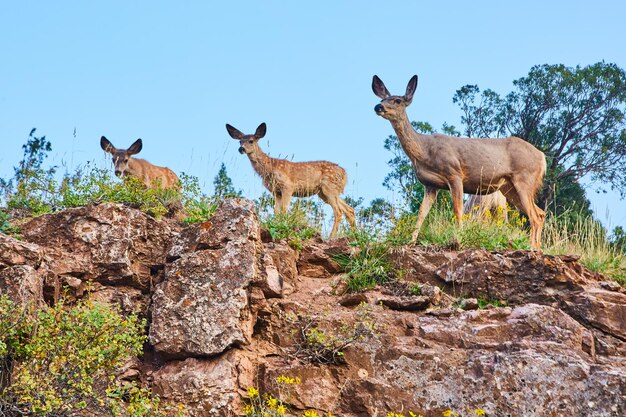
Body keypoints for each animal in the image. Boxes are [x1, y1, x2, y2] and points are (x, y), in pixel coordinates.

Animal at [224, 121, 354, 237]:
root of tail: (345, 173)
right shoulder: (276, 191)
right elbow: (276, 211)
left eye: (251, 141)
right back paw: (355, 234)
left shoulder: (288, 186)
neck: (269, 168)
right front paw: (276, 225)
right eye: (240, 141)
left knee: (339, 211)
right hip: (325, 192)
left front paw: (283, 227)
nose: (241, 149)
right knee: (349, 210)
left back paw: (331, 237)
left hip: (329, 187)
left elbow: (284, 209)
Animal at [372, 74, 544, 249]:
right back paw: (538, 248)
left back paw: (531, 248)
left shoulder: (454, 173)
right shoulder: (430, 185)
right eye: (383, 99)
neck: (423, 151)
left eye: (397, 100)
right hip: (508, 187)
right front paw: (411, 241)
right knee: (541, 213)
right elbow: (421, 214)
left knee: (535, 216)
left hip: (524, 178)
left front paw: (458, 239)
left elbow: (457, 211)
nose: (378, 106)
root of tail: (542, 156)